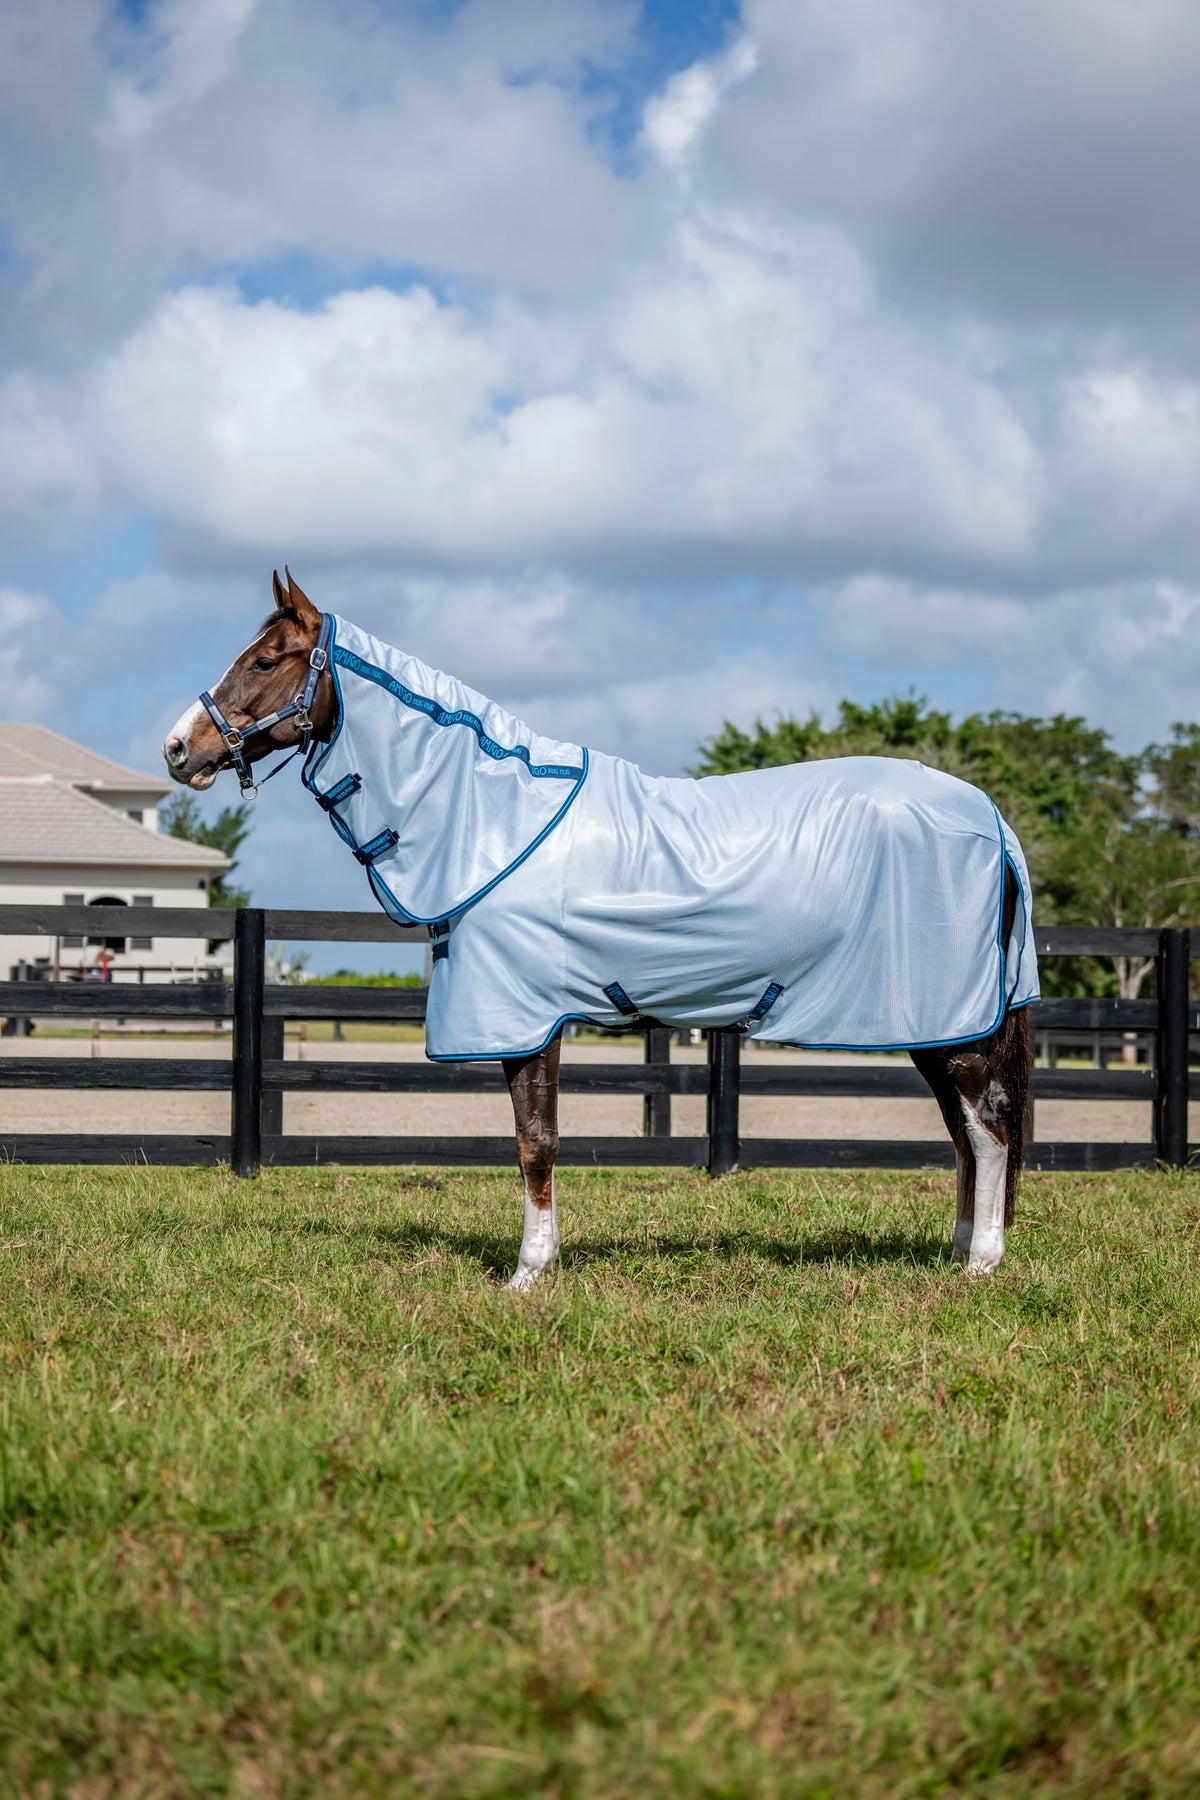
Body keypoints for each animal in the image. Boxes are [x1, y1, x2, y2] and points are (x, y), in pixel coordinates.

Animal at [164, 569, 1038, 1287]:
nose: (179, 748)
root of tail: (989, 818)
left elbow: (536, 1141)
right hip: (937, 1025)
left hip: (949, 1025)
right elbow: (538, 1140)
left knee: (989, 1128)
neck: (496, 818)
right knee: (964, 1133)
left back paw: (983, 1263)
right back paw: (958, 1249)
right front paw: (540, 1265)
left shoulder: (526, 1018)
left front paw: (527, 1275)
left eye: (267, 660)